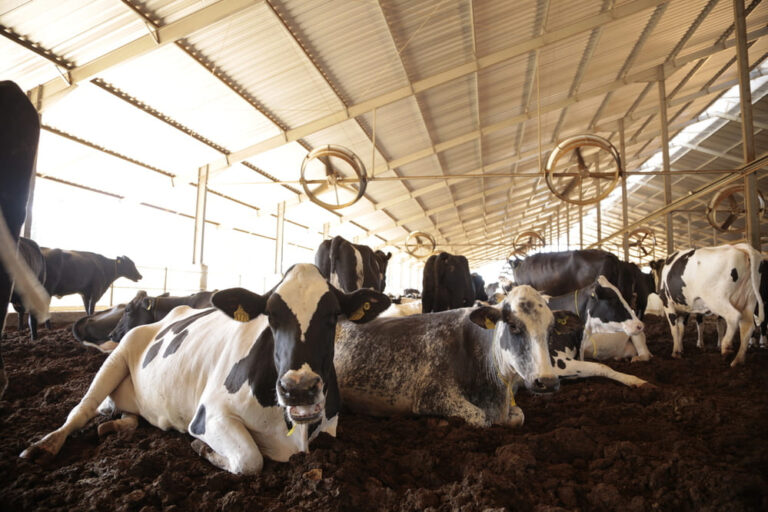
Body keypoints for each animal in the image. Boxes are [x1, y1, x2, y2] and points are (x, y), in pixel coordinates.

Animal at [19, 264, 390, 476]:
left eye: (333, 316)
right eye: (270, 316)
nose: (298, 388)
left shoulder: (329, 424)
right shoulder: (209, 415)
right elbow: (250, 460)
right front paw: (204, 450)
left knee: (124, 413)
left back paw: (117, 426)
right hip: (116, 357)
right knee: (81, 409)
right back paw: (44, 446)